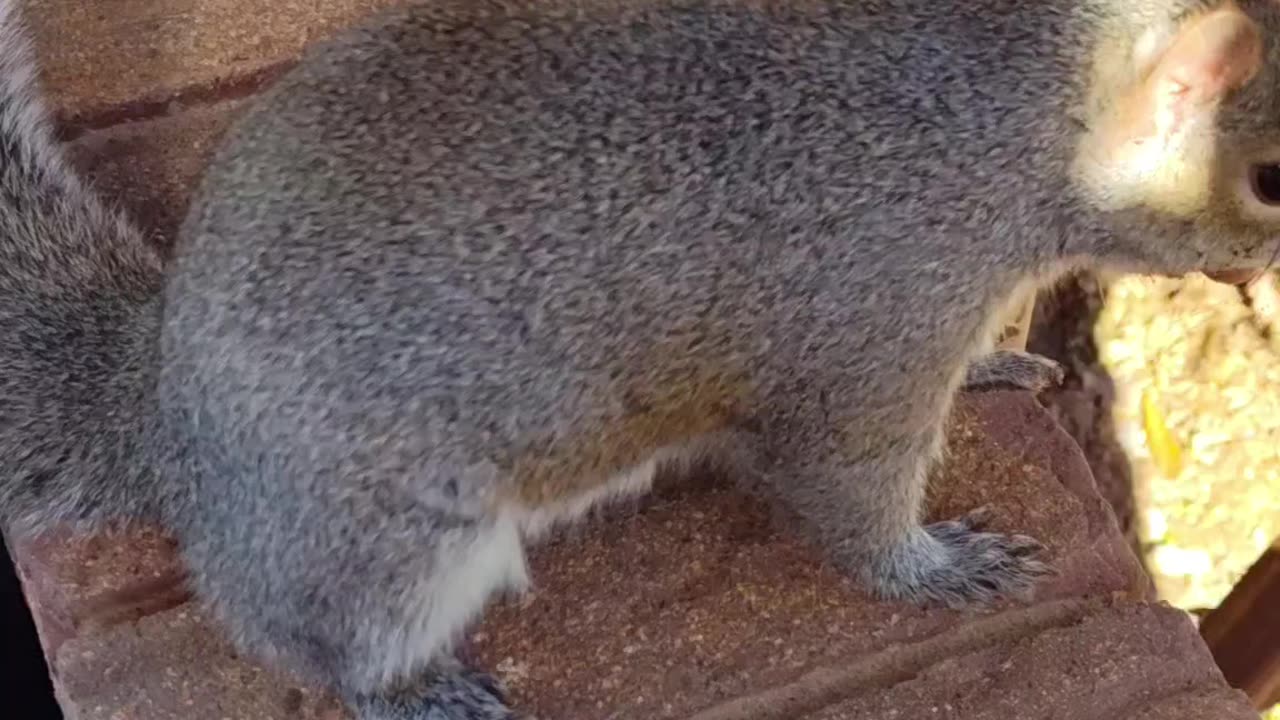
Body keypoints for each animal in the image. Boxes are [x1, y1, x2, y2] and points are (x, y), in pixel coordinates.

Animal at [2, 0, 1280, 712]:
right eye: (1266, 176)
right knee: (312, 642)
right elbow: (846, 489)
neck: (991, 111)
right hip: (381, 548)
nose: (1263, 272)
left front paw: (993, 368)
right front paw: (932, 569)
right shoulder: (869, 329)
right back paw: (411, 693)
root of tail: (160, 410)